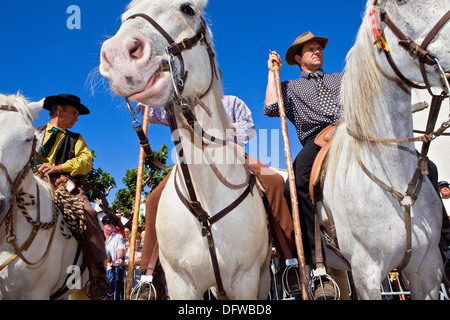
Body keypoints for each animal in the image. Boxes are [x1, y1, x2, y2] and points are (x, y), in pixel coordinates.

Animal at [100, 0, 270, 300]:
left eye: (187, 9)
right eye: (124, 17)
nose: (118, 54)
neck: (204, 203)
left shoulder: (247, 280)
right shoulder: (181, 282)